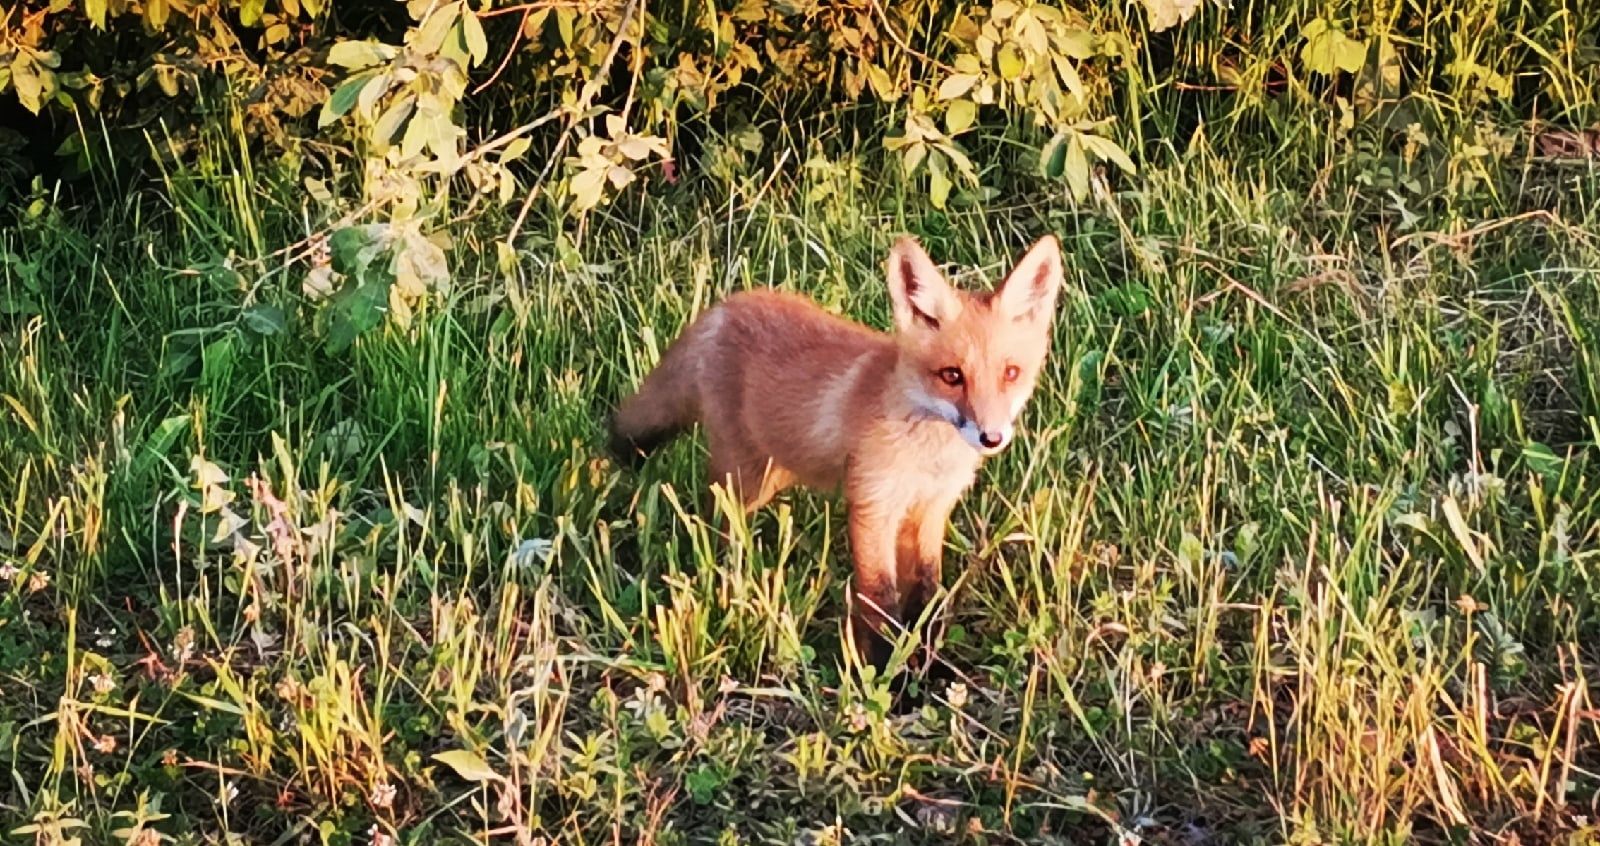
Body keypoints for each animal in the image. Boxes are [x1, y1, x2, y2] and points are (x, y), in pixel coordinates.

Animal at [608, 233, 1062, 674]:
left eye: (1011, 373)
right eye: (952, 375)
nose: (992, 437)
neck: (927, 458)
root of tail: (724, 307)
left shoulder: (930, 509)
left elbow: (927, 595)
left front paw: (932, 667)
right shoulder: (872, 505)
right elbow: (880, 599)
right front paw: (885, 675)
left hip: (777, 471)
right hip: (747, 478)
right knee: (716, 521)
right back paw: (726, 579)